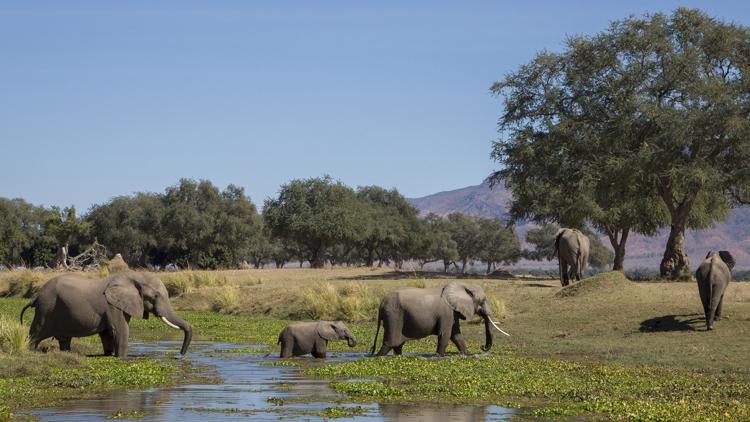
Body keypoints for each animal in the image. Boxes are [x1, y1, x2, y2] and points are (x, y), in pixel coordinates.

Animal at [20, 272, 192, 358]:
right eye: (155, 296)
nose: (180, 355)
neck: (133, 277)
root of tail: (36, 295)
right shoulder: (113, 307)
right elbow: (120, 330)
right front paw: (121, 358)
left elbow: (106, 333)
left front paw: (109, 354)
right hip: (45, 309)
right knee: (35, 333)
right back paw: (29, 351)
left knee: (64, 340)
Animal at [372, 280, 512, 356]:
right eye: (482, 301)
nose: (483, 347)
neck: (463, 286)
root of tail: (381, 304)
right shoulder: (447, 312)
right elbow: (445, 334)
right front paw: (439, 355)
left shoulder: (453, 312)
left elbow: (456, 335)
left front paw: (465, 354)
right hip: (394, 316)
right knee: (390, 344)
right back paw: (378, 356)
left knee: (398, 345)